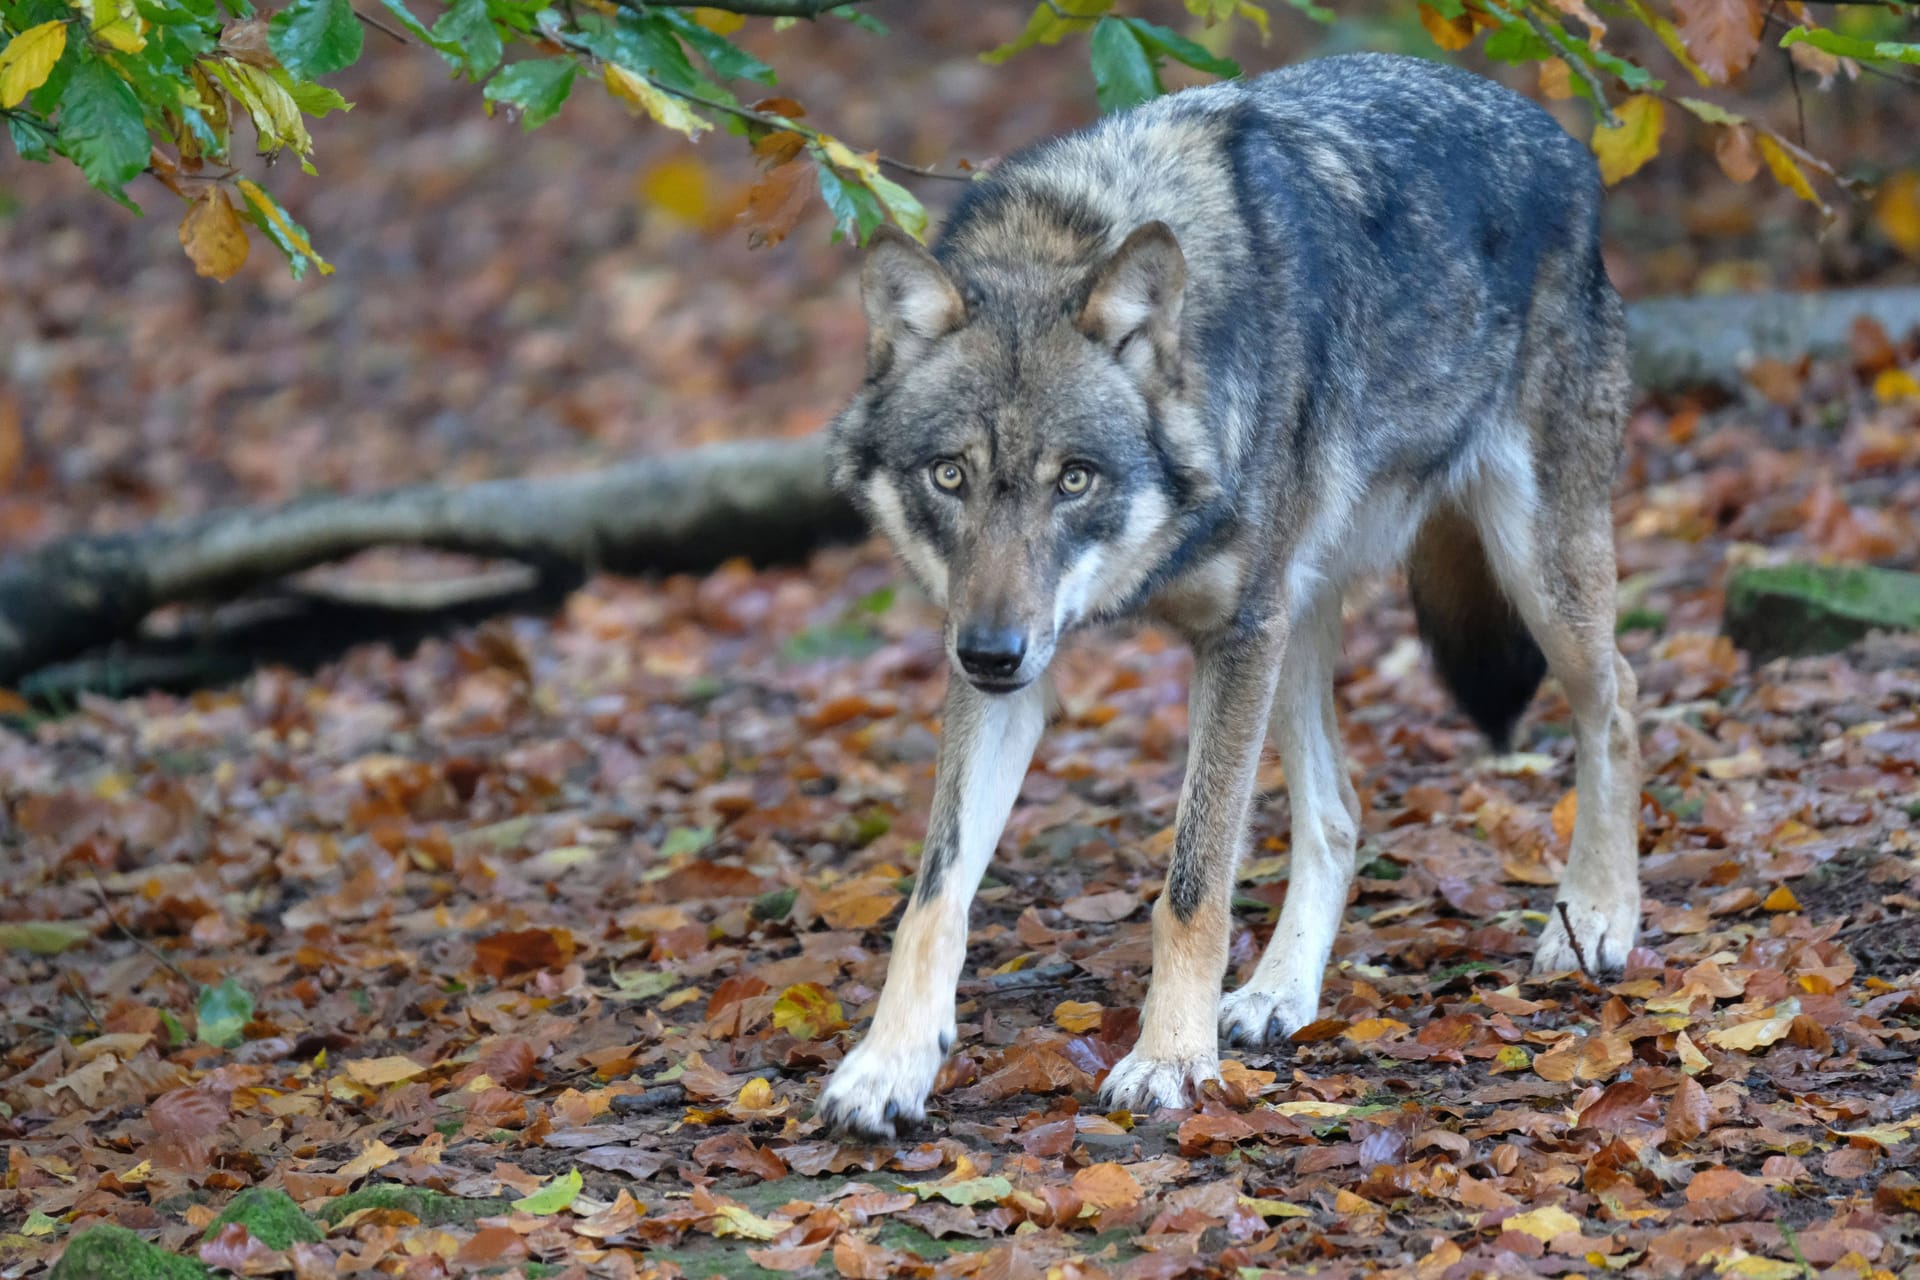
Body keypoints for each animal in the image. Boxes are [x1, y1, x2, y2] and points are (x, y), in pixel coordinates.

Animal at [817, 52, 1643, 1143]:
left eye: (1073, 479)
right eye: (950, 477)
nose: (990, 653)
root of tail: (1558, 137)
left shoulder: (1231, 633)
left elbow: (1193, 883)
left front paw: (1171, 1058)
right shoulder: (1026, 667)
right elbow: (935, 891)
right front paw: (890, 1063)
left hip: (1526, 576)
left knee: (1619, 699)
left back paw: (1598, 917)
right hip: (1294, 623)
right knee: (1338, 814)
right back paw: (1279, 994)